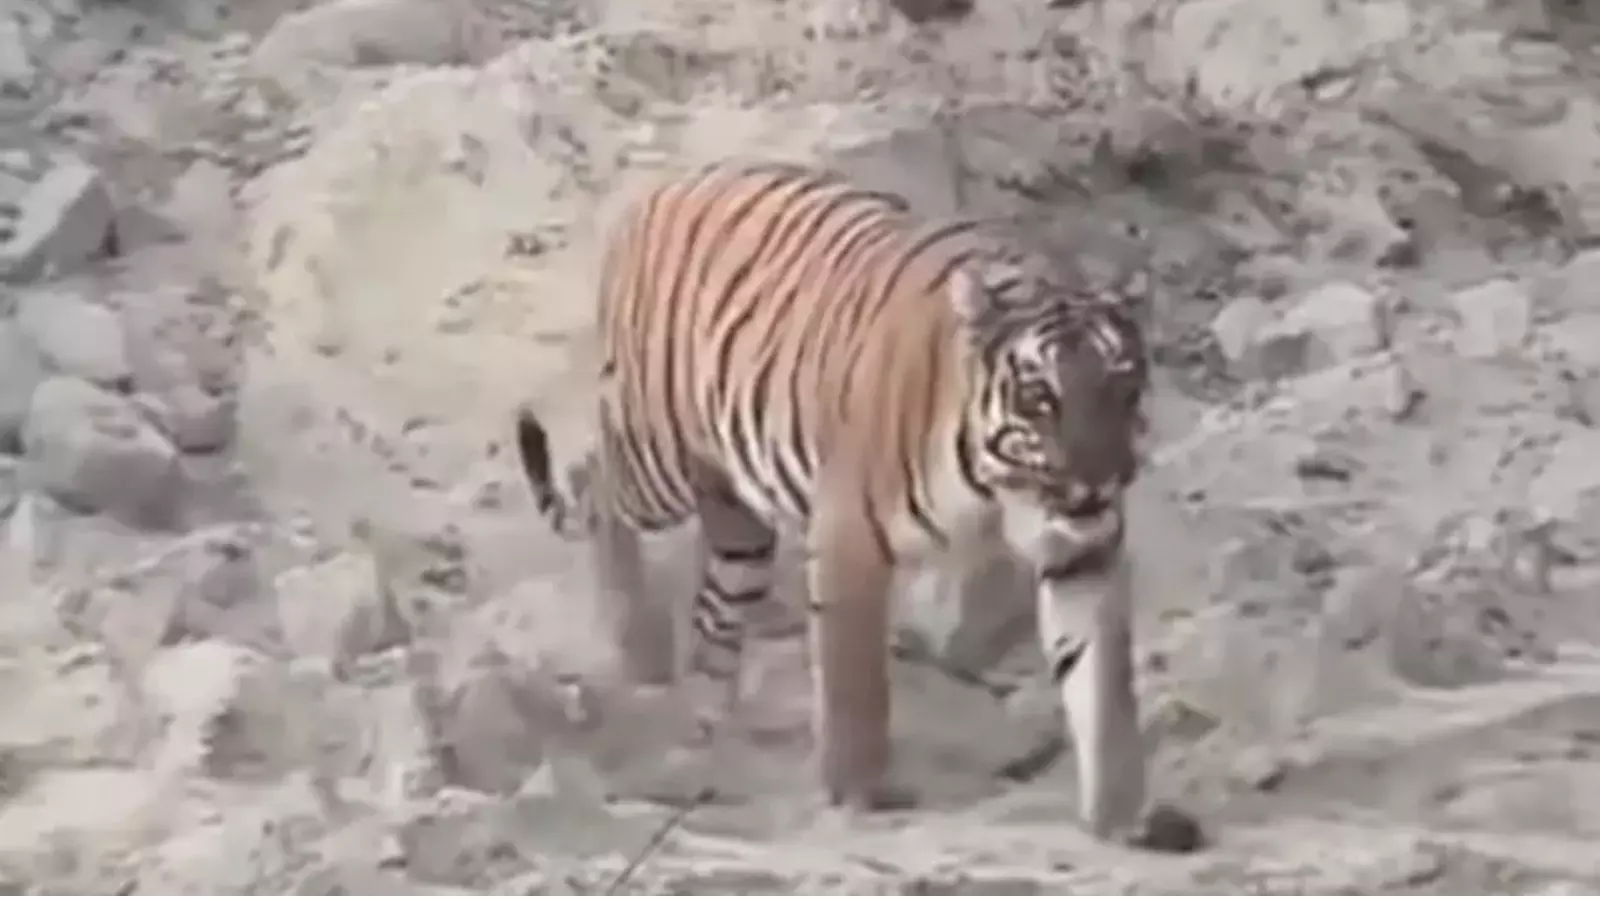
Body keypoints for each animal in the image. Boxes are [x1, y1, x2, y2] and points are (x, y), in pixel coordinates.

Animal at [515, 160, 1194, 849]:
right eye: (1041, 399)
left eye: (1123, 389)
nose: (1098, 479)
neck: (1000, 480)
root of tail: (666, 187)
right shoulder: (851, 536)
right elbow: (855, 682)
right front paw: (860, 794)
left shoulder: (1082, 550)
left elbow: (1103, 684)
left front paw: (1122, 815)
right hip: (656, 459)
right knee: (592, 477)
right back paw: (640, 643)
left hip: (738, 522)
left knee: (713, 619)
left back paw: (705, 739)